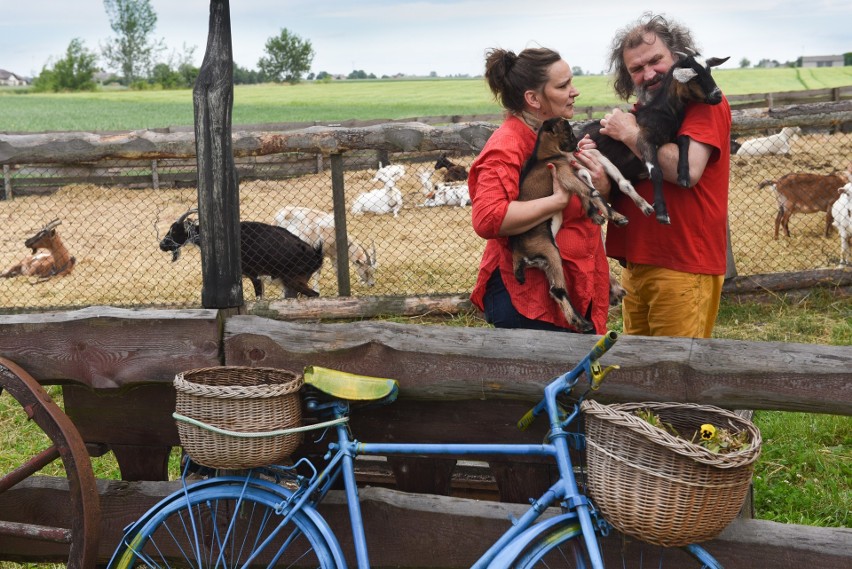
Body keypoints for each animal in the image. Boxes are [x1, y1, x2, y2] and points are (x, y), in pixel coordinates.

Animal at [158, 207, 322, 298]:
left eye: (174, 230)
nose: (162, 245)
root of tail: (315, 254)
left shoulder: (255, 276)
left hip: (293, 280)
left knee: (315, 295)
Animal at [584, 51, 728, 223]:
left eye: (709, 71)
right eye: (695, 77)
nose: (718, 95)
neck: (663, 111)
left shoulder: (670, 136)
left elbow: (684, 139)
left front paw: (684, 176)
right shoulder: (644, 139)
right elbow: (657, 172)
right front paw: (661, 211)